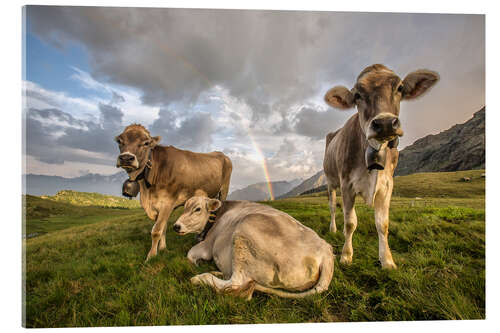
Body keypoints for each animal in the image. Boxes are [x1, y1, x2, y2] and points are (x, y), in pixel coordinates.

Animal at [114, 123, 232, 260]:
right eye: (119, 141)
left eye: (146, 143)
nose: (126, 158)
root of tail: (221, 154)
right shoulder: (159, 206)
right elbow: (163, 228)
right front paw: (162, 248)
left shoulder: (167, 203)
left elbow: (156, 231)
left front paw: (151, 256)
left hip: (224, 190)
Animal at [174, 196, 334, 300]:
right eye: (184, 208)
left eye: (197, 209)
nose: (176, 226)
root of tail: (325, 251)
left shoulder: (208, 245)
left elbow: (190, 254)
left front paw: (198, 263)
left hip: (245, 229)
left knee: (237, 283)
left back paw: (200, 278)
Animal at [324, 63, 438, 268]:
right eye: (357, 95)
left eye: (400, 88)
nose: (385, 123)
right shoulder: (347, 185)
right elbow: (350, 222)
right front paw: (346, 255)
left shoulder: (387, 185)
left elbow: (382, 224)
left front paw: (387, 260)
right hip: (331, 182)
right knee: (332, 207)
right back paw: (333, 229)